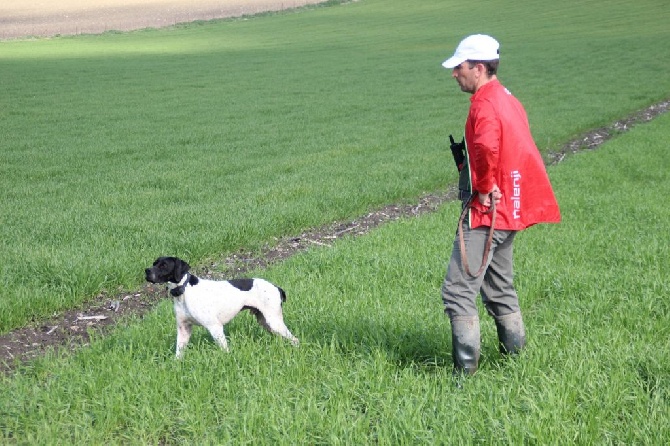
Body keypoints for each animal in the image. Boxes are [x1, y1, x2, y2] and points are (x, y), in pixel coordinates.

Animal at [146, 256, 300, 358]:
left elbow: (224, 349)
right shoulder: (184, 329)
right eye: (154, 263)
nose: (147, 271)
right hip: (265, 322)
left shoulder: (215, 327)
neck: (184, 290)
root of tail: (276, 287)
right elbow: (179, 353)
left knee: (295, 339)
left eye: (163, 265)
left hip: (274, 321)